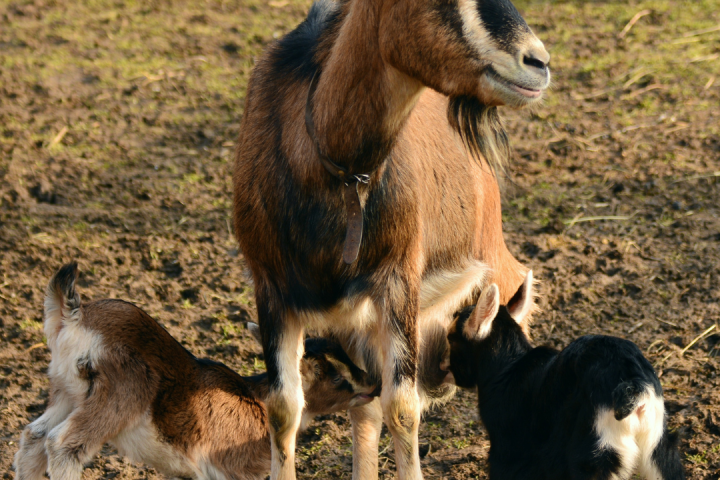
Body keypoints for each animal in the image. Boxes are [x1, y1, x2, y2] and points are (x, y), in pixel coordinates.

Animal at [13, 262, 378, 480]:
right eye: (335, 376)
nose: (373, 384)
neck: (257, 402)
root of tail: (75, 316)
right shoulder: (227, 471)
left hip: (67, 392)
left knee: (34, 436)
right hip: (121, 393)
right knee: (63, 444)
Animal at [233, 0, 549, 477]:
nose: (538, 62)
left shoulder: (398, 281)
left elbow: (401, 407)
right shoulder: (272, 289)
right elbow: (285, 409)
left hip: (488, 256)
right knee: (365, 406)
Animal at [443, 271, 685, 480]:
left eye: (451, 338)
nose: (445, 372)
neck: (507, 368)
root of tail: (635, 384)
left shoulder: (508, 450)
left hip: (594, 453)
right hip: (659, 448)